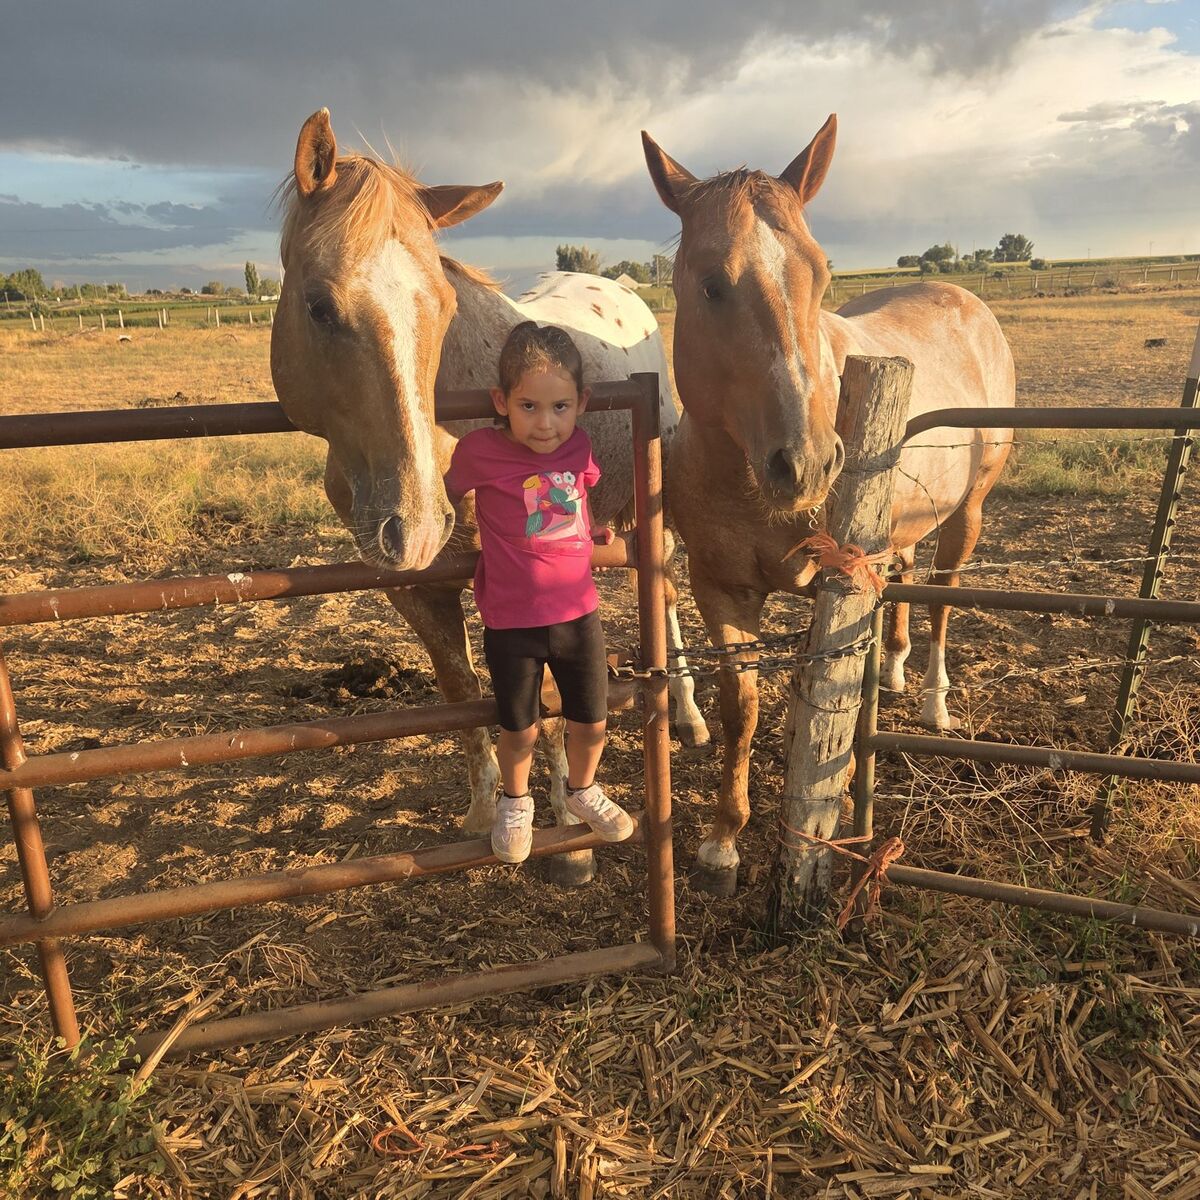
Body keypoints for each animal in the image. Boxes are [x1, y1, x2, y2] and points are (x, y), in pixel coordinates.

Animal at [270, 109, 707, 881]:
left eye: (442, 306)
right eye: (317, 305)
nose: (416, 526)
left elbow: (552, 700)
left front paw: (568, 829)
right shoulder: (416, 590)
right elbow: (461, 693)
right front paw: (483, 810)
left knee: (668, 599)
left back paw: (686, 714)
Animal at [641, 114, 1015, 894]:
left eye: (821, 273)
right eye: (710, 284)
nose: (808, 462)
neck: (750, 487)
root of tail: (966, 301)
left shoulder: (836, 587)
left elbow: (825, 690)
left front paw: (830, 807)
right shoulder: (719, 590)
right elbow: (743, 710)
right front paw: (722, 839)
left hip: (967, 513)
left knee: (942, 596)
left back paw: (933, 698)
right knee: (906, 582)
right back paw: (897, 670)